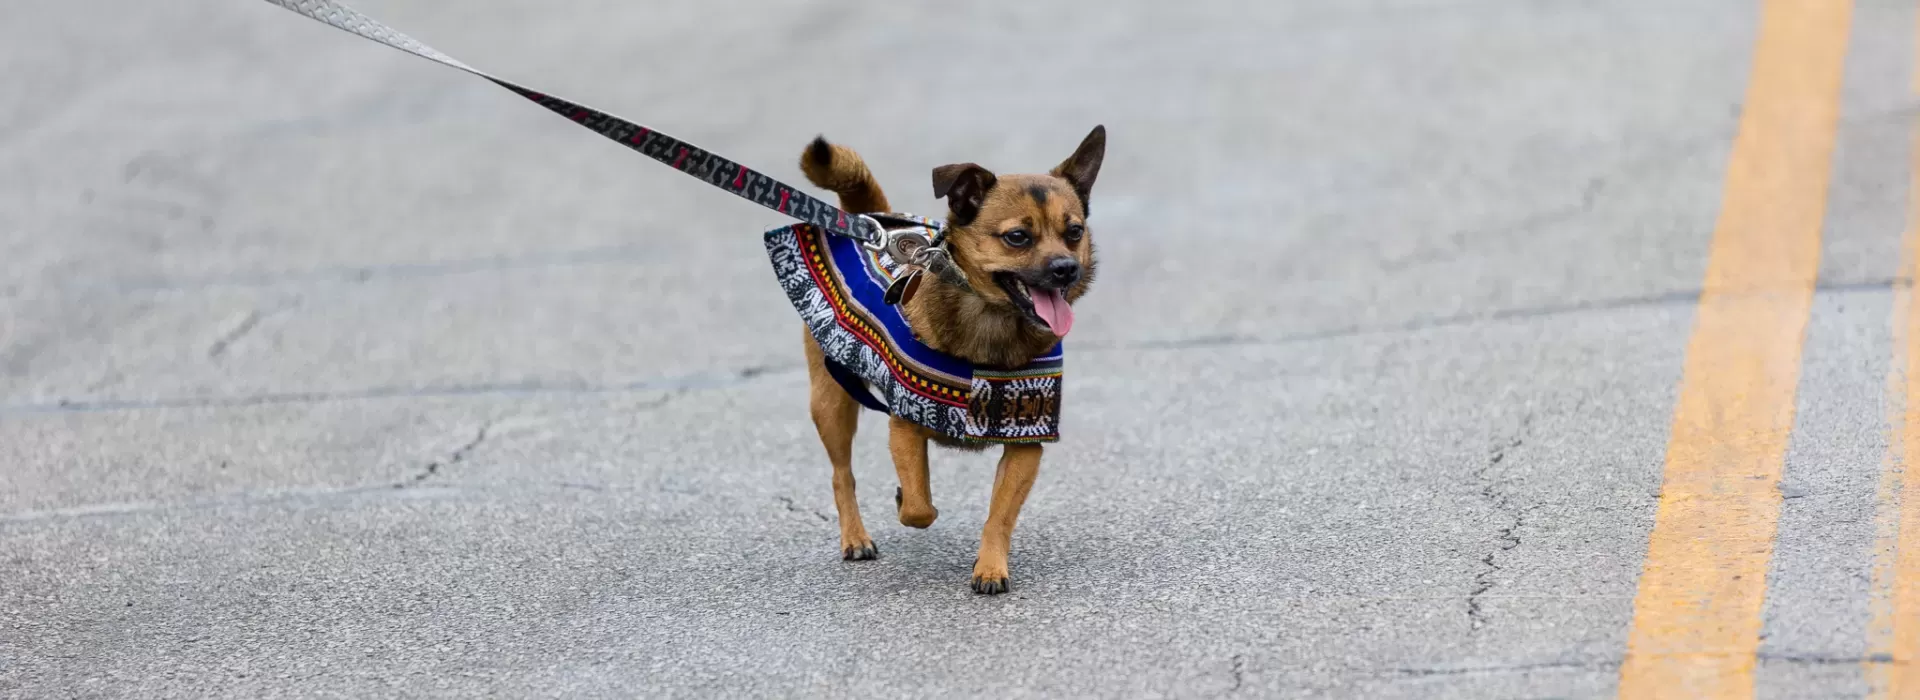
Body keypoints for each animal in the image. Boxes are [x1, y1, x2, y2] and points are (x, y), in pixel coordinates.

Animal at [787, 122, 1105, 590]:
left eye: (1074, 232)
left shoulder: (1026, 442)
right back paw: (855, 537)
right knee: (841, 474)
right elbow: (920, 508)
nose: (1066, 268)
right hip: (831, 402)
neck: (992, 321)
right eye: (1017, 237)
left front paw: (990, 566)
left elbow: (1000, 514)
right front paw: (908, 498)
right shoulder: (905, 427)